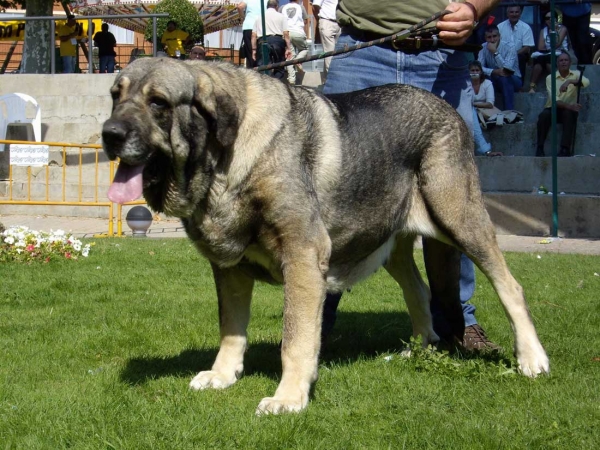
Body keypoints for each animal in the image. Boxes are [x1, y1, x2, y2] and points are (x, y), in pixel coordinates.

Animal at [102, 59, 548, 414]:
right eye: (114, 96)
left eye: (158, 102)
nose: (109, 133)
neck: (225, 159)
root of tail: (450, 110)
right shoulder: (230, 269)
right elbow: (231, 329)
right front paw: (222, 375)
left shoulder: (301, 257)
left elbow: (296, 338)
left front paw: (288, 398)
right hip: (392, 246)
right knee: (419, 290)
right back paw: (419, 348)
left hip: (459, 219)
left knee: (510, 286)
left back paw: (531, 359)